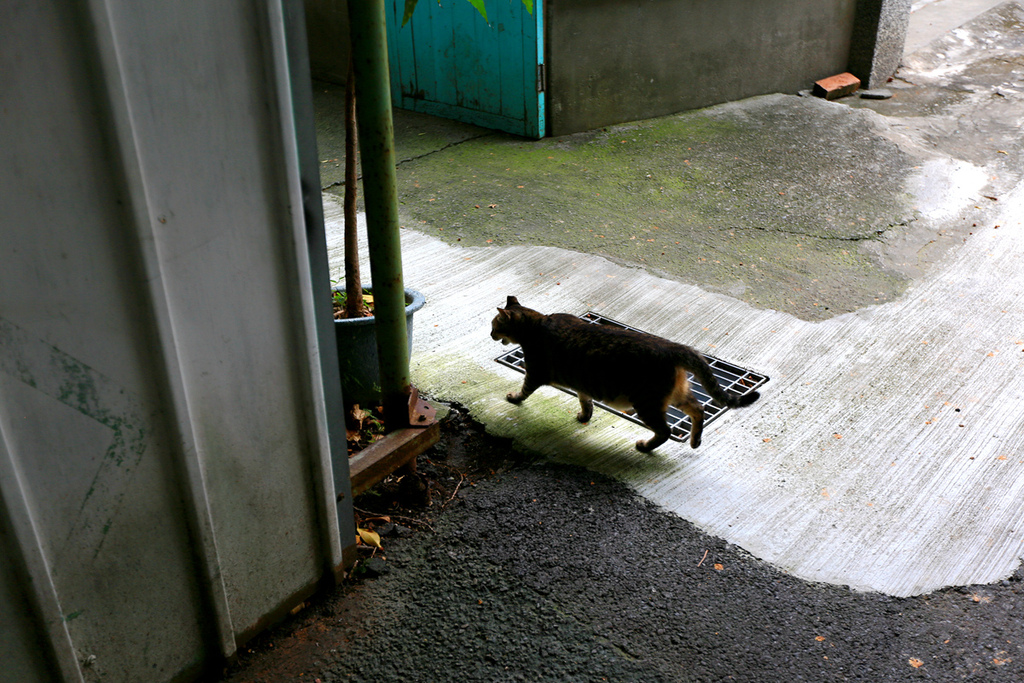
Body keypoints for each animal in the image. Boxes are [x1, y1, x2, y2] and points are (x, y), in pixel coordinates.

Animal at [487, 294, 761, 450]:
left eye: (494, 325)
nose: (490, 334)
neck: (536, 325)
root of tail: (672, 347)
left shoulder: (535, 372)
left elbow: (524, 390)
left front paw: (514, 398)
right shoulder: (582, 384)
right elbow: (586, 402)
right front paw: (584, 416)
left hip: (647, 403)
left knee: (666, 431)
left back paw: (645, 447)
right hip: (674, 395)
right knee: (699, 409)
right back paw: (695, 441)